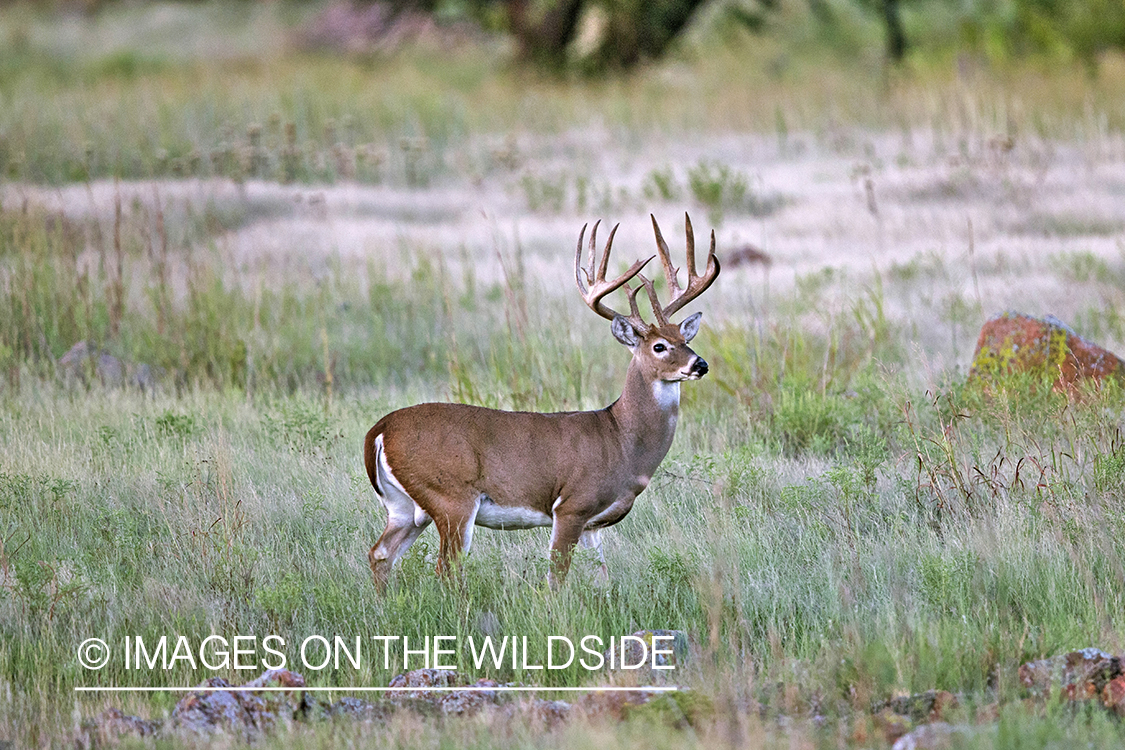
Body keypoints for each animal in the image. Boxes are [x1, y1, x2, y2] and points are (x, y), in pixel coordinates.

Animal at [362, 213, 720, 589]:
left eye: (685, 339)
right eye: (659, 346)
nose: (700, 364)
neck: (620, 439)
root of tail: (379, 430)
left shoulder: (593, 523)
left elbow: (602, 579)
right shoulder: (571, 504)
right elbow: (556, 577)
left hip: (404, 508)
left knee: (380, 554)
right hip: (451, 497)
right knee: (446, 567)